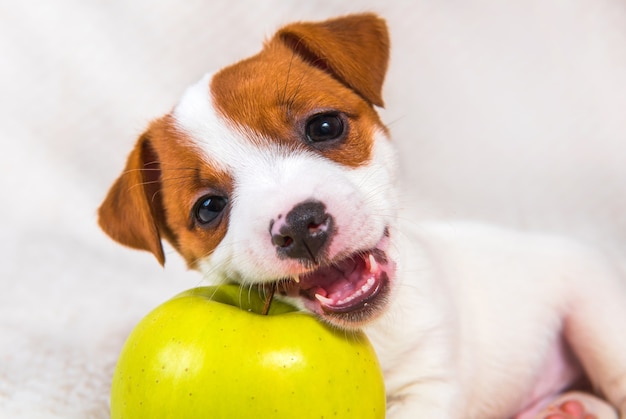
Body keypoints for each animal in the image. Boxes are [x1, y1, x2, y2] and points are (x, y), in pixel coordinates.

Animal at [97, 13, 624, 419]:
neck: (371, 333)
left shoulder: (430, 384)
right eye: (209, 208)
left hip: (599, 318)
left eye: (324, 126)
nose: (299, 226)